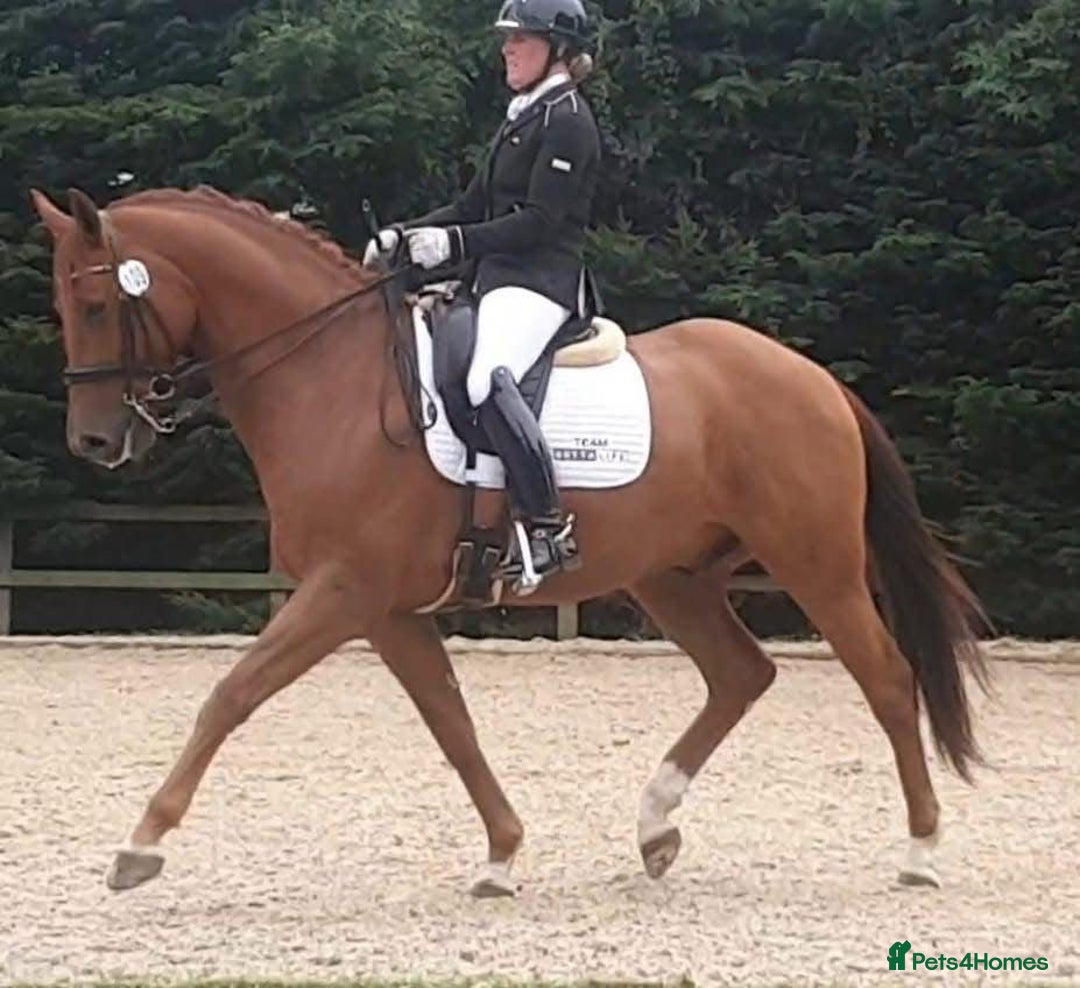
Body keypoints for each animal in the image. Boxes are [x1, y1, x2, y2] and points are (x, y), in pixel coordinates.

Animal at [30, 184, 992, 898]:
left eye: (95, 300)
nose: (93, 442)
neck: (328, 378)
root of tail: (813, 377)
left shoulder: (343, 591)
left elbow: (230, 695)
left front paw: (142, 843)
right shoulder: (386, 610)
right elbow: (451, 722)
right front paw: (500, 852)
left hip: (816, 565)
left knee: (887, 678)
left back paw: (921, 851)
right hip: (672, 576)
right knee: (740, 674)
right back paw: (655, 828)